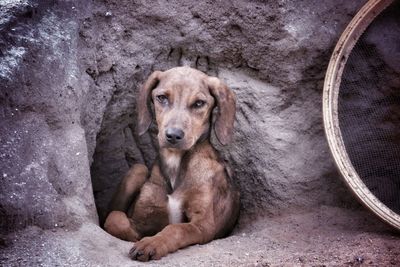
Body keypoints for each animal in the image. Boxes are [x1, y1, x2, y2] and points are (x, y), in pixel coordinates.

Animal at [104, 66, 239, 262]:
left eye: (199, 103)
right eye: (162, 97)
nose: (173, 135)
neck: (176, 163)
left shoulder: (203, 225)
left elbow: (175, 229)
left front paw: (151, 243)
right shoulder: (143, 218)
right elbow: (115, 219)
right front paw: (139, 237)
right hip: (138, 169)